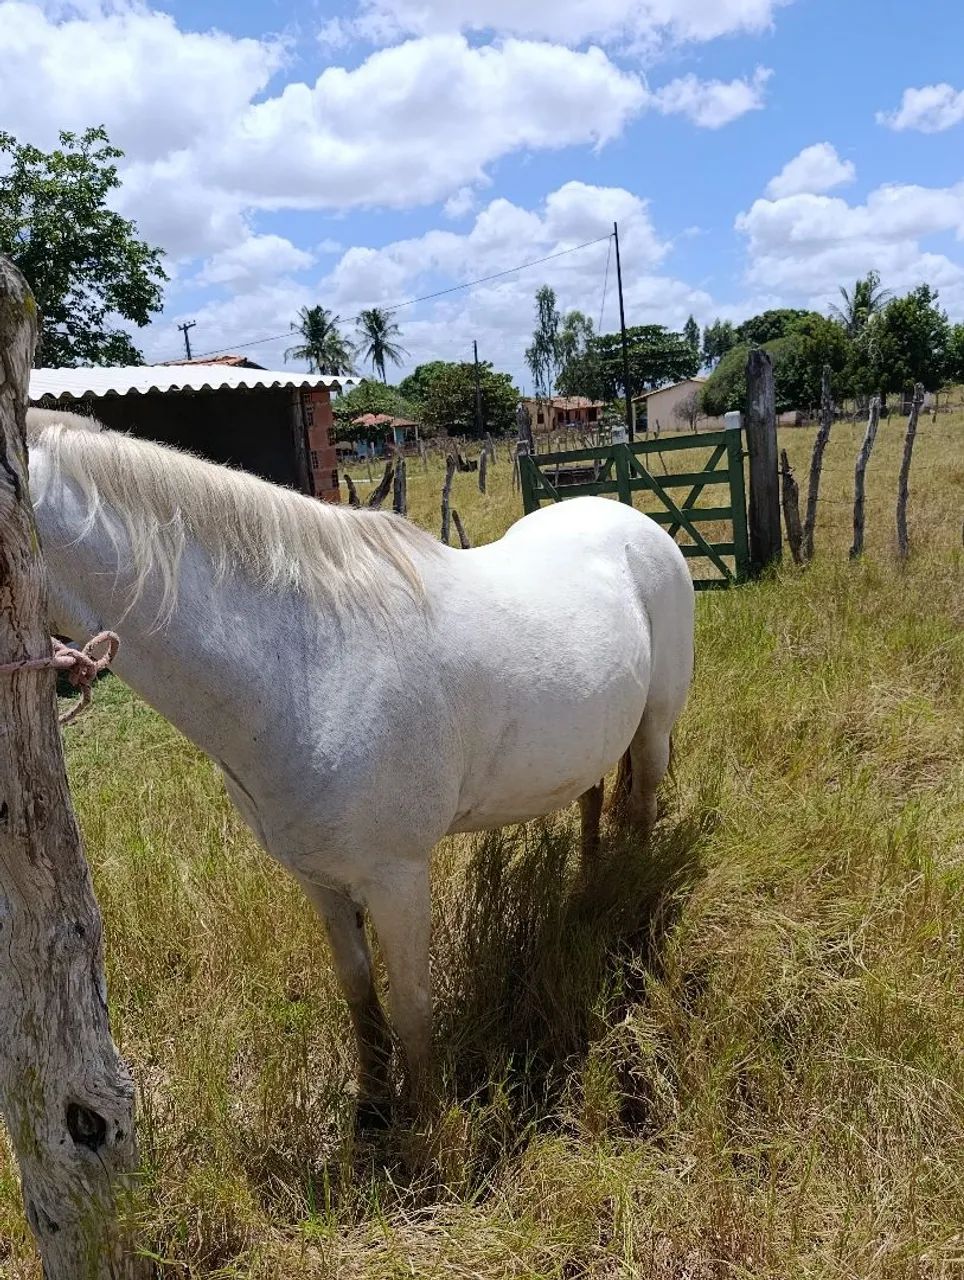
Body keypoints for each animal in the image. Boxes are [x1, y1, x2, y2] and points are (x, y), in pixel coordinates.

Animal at [25, 408, 695, 1121]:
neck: (306, 667)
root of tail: (632, 520)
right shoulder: (319, 880)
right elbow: (359, 994)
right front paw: (373, 1104)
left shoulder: (396, 877)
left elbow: (411, 1008)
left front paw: (425, 1125)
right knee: (594, 799)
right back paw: (588, 886)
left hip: (654, 727)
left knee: (643, 809)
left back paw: (629, 910)